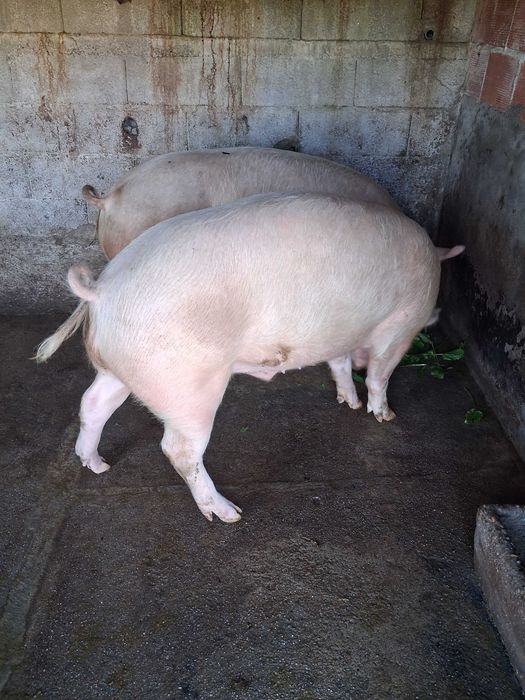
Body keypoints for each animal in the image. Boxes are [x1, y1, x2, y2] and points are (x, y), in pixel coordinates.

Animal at [37, 193, 448, 522]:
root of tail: (102, 289)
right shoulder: (402, 323)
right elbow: (381, 373)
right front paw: (384, 415)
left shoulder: (341, 334)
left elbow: (340, 363)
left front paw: (349, 402)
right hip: (187, 386)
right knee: (178, 450)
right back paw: (229, 514)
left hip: (122, 367)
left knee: (92, 404)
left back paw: (98, 466)